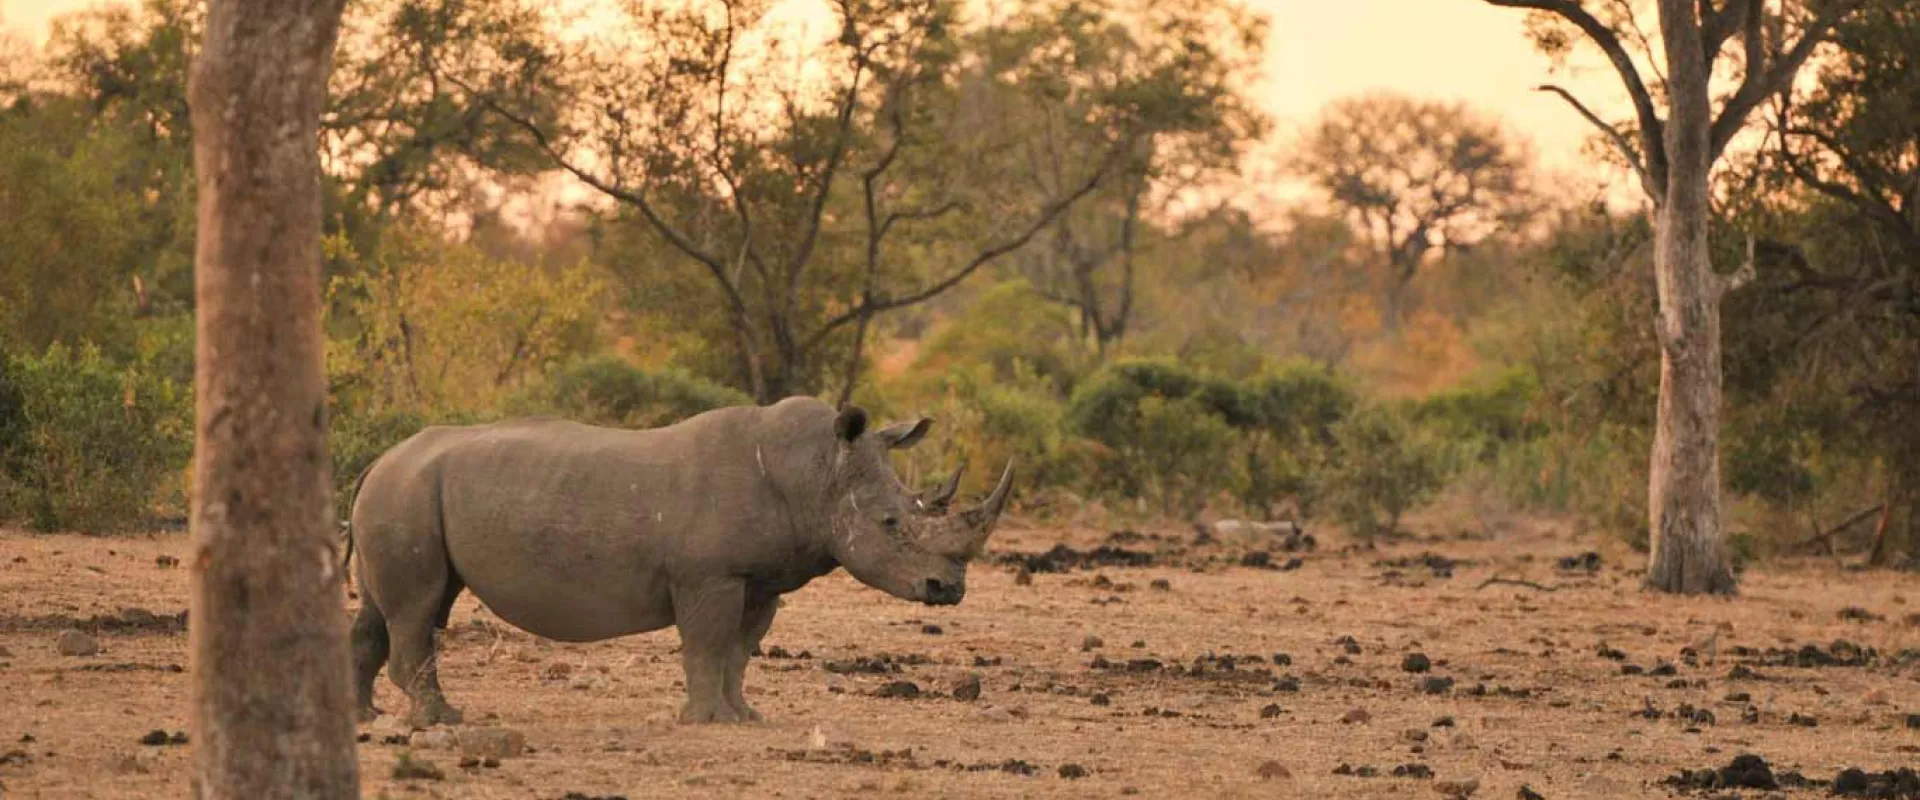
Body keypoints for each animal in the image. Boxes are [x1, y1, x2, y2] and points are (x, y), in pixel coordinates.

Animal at [344, 397, 1012, 726]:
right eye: (892, 524)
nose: (948, 588)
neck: (817, 470)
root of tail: (378, 460)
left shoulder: (760, 578)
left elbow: (740, 649)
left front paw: (746, 718)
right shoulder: (709, 574)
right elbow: (708, 645)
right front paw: (705, 721)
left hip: (405, 492)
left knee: (392, 609)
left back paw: (363, 716)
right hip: (407, 494)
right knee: (418, 608)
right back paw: (440, 720)